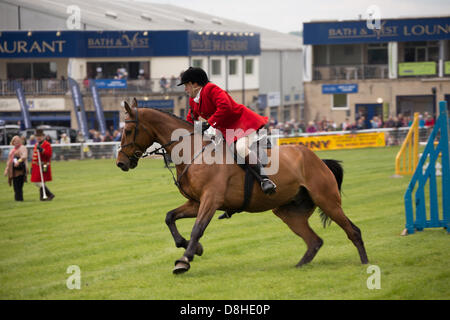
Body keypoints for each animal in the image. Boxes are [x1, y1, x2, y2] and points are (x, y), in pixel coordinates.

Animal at [116, 99, 370, 274]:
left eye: (127, 131)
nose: (120, 163)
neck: (192, 152)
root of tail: (316, 158)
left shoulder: (210, 200)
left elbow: (197, 228)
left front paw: (184, 260)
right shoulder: (195, 202)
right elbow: (170, 217)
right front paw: (194, 248)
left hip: (327, 200)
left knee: (353, 231)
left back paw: (365, 264)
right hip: (289, 212)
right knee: (314, 241)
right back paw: (299, 267)